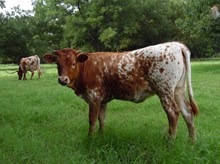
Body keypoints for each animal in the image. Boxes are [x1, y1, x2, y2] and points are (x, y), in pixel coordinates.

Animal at [43, 41, 199, 140]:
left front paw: (90, 139)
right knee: (187, 112)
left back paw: (170, 141)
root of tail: (176, 45)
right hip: (178, 89)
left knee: (173, 113)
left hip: (164, 89)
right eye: (57, 64)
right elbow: (101, 118)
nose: (63, 80)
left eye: (73, 63)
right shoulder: (102, 100)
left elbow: (92, 119)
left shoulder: (94, 97)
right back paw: (192, 141)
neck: (87, 67)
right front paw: (101, 135)